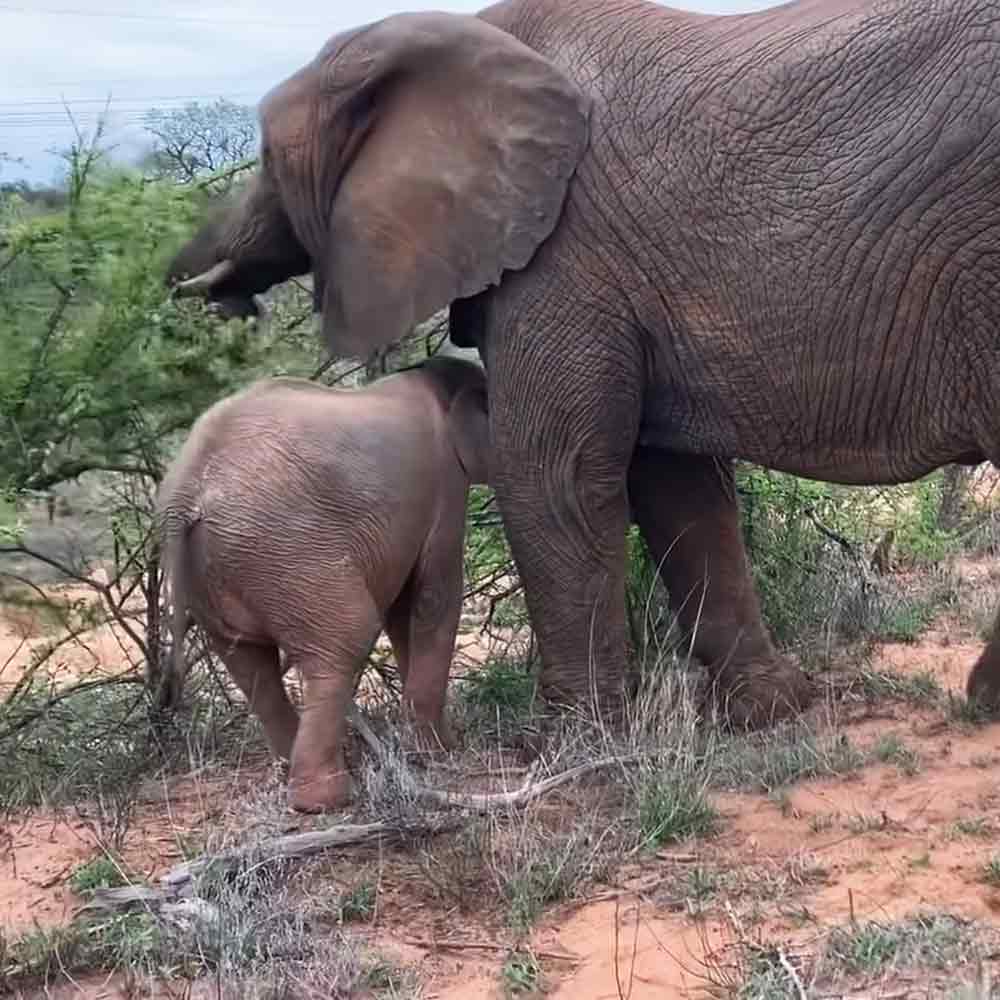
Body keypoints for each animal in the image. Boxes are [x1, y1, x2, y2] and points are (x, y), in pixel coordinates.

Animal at [156, 357, 490, 812]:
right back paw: (326, 799)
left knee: (249, 663)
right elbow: (433, 596)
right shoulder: (446, 486)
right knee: (347, 636)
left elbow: (403, 610)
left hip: (220, 566)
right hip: (286, 551)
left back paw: (292, 772)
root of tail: (185, 493)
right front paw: (439, 751)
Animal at [167, 0, 1000, 728]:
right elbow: (675, 484)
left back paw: (985, 699)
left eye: (264, 156)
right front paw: (770, 711)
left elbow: (551, 472)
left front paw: (568, 745)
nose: (214, 302)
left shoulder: (564, 254)